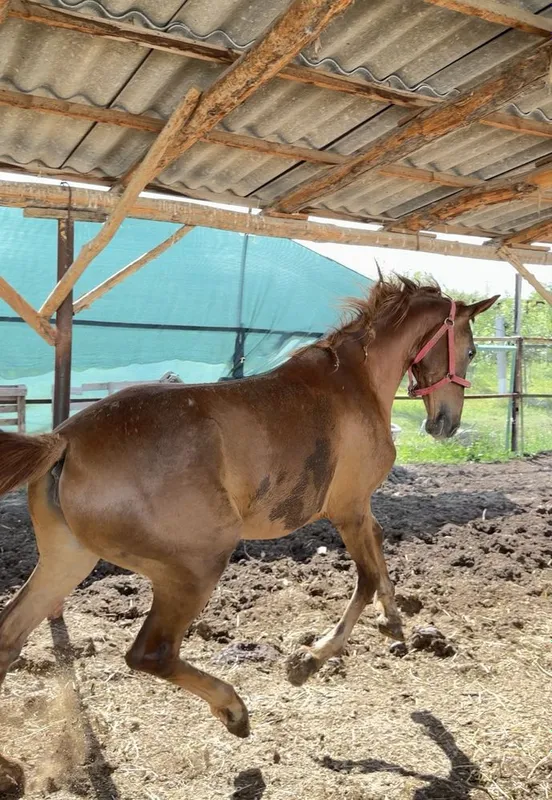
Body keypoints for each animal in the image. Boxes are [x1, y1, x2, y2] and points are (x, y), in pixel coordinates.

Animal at [0, 276, 497, 791]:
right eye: (471, 349)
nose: (446, 423)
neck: (354, 383)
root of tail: (65, 440)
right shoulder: (349, 508)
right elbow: (364, 577)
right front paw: (308, 661)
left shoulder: (360, 509)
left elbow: (379, 558)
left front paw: (394, 623)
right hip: (197, 564)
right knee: (151, 653)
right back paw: (234, 710)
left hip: (68, 560)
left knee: (7, 638)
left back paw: (9, 769)